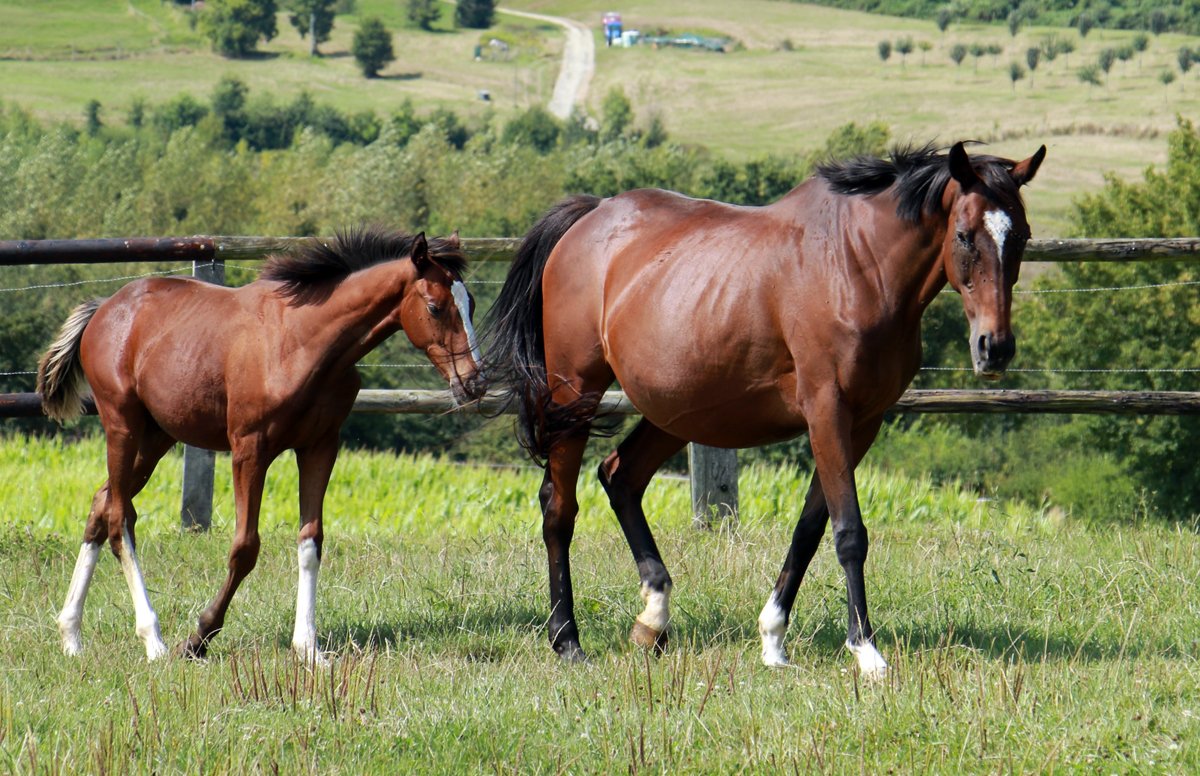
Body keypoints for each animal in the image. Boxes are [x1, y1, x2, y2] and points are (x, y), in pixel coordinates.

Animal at [38, 227, 484, 662]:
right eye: (435, 306)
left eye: (472, 304)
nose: (474, 382)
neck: (301, 342)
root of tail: (104, 309)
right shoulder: (250, 449)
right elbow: (245, 547)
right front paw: (198, 638)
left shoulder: (320, 446)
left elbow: (311, 541)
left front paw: (308, 648)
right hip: (122, 425)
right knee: (118, 518)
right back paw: (154, 641)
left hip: (157, 435)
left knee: (102, 504)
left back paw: (71, 635)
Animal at [482, 142, 1045, 676]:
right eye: (966, 235)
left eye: (1020, 236)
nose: (995, 348)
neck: (858, 266)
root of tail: (592, 216)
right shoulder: (827, 411)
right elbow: (849, 532)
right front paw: (866, 651)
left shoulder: (862, 423)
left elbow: (810, 529)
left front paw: (773, 639)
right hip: (575, 393)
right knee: (559, 507)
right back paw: (567, 640)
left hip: (681, 411)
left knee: (620, 476)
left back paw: (654, 620)